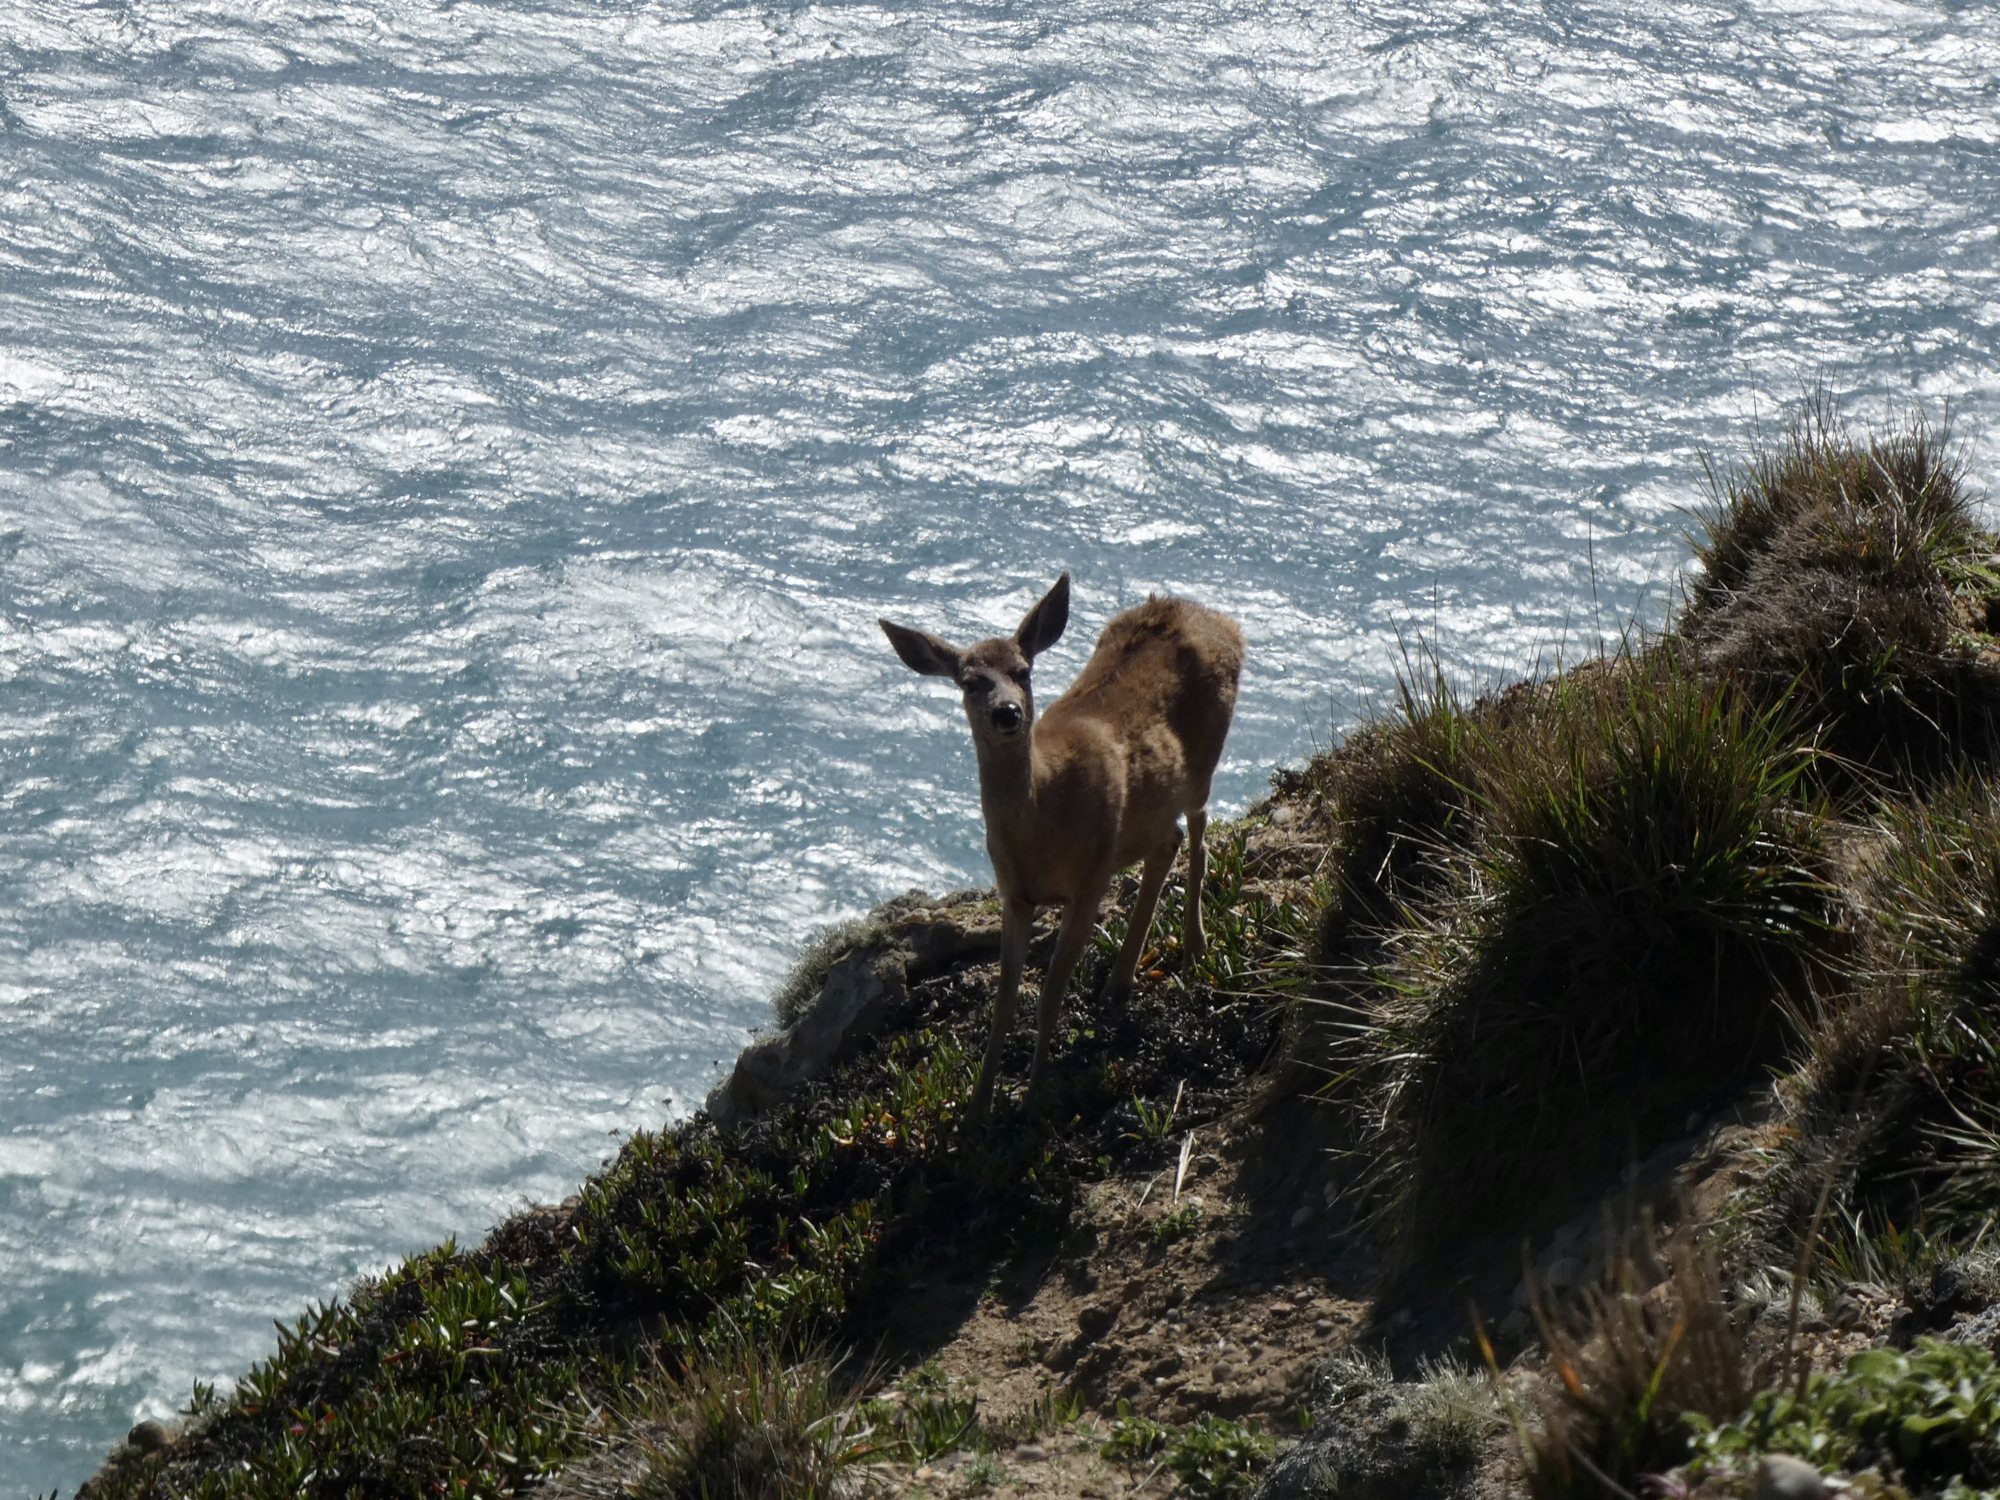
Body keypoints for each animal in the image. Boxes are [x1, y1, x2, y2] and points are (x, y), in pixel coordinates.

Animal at [879, 573, 1244, 1119]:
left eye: (1023, 671)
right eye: (969, 681)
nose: (1007, 713)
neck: (1042, 827)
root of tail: (1223, 622)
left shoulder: (1089, 882)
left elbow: (1050, 995)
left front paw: (1033, 1098)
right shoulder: (1014, 894)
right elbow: (1004, 1001)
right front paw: (978, 1107)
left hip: (1203, 763)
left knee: (1197, 835)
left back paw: (1195, 947)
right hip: (1150, 809)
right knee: (1170, 841)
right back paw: (1119, 982)